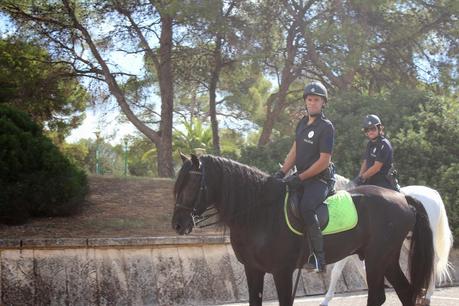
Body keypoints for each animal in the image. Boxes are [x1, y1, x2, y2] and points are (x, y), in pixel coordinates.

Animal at [173, 155, 434, 306]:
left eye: (191, 184)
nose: (177, 224)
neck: (260, 212)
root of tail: (402, 198)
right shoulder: (253, 269)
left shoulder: (282, 271)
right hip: (386, 258)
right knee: (405, 292)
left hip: (377, 258)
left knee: (379, 296)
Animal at [322, 175, 454, 306]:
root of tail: (433, 192)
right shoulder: (354, 252)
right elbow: (358, 270)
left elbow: (336, 272)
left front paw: (326, 300)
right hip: (407, 242)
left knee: (434, 261)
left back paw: (427, 295)